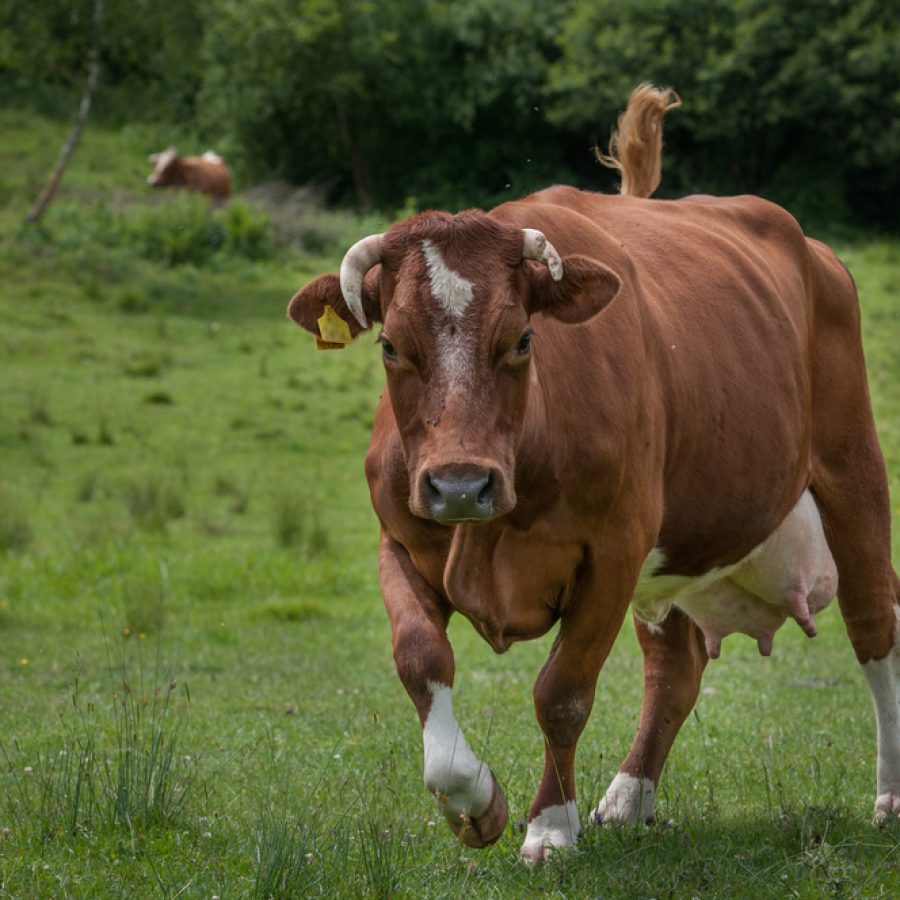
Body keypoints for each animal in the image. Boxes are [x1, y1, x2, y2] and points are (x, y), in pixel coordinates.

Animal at [286, 84, 898, 864]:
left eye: (522, 339)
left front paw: (550, 824)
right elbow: (420, 659)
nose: (460, 485)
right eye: (391, 345)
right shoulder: (399, 541)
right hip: (675, 551)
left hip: (852, 470)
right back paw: (628, 799)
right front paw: (475, 801)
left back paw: (890, 796)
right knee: (674, 670)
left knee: (875, 623)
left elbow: (563, 692)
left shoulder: (615, 549)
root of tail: (814, 250)